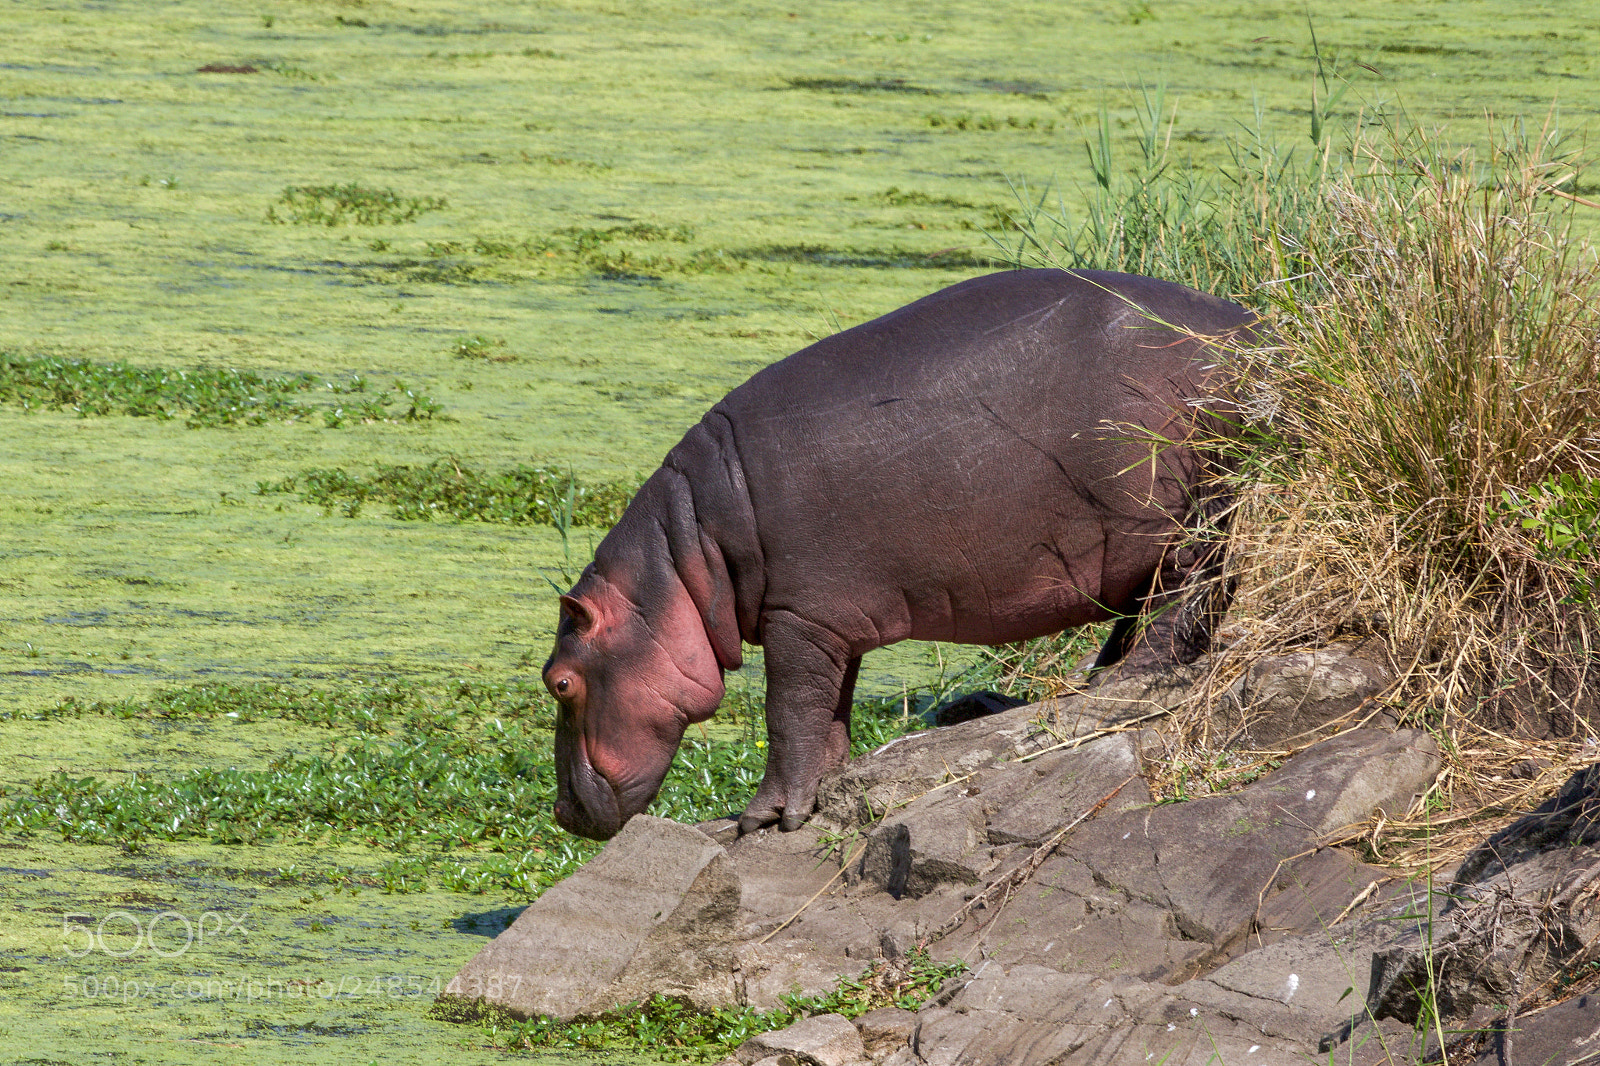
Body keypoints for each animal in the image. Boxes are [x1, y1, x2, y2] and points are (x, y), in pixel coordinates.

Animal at [545, 268, 1260, 840]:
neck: (684, 561)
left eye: (559, 681)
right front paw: (823, 793)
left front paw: (763, 818)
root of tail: (1255, 329)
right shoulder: (829, 621)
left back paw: (1121, 679)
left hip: (1186, 512)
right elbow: (829, 712)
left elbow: (789, 714)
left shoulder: (796, 617)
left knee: (1188, 592)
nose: (560, 813)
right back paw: (1096, 677)